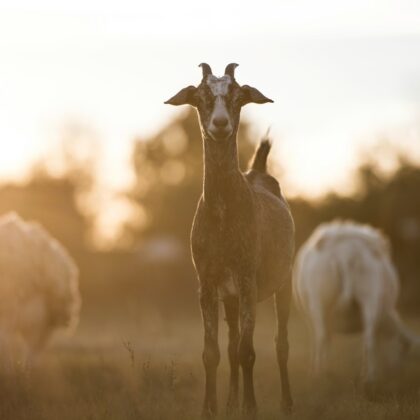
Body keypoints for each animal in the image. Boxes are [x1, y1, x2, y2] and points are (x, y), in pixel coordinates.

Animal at [165, 64, 296, 418]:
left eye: (238, 97)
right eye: (200, 97)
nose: (220, 124)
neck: (223, 214)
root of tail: (259, 171)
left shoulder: (248, 278)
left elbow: (249, 351)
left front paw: (251, 407)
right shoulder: (208, 282)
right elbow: (214, 352)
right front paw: (210, 408)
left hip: (284, 282)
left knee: (280, 343)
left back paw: (286, 403)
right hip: (232, 298)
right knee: (232, 344)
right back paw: (231, 401)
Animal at [292, 221, 420, 388]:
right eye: (405, 349)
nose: (399, 374)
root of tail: (347, 254)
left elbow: (320, 339)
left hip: (319, 298)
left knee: (323, 336)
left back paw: (321, 375)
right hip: (369, 296)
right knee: (368, 340)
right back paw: (369, 378)